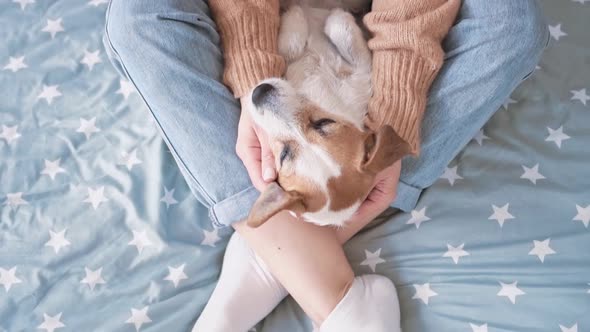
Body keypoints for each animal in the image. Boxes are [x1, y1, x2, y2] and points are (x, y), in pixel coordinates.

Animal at [245, 0, 412, 228]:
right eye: (323, 122)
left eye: (283, 155)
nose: (259, 92)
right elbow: (291, 50)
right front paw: (297, 17)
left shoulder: (361, 73)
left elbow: (339, 32)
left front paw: (328, 17)